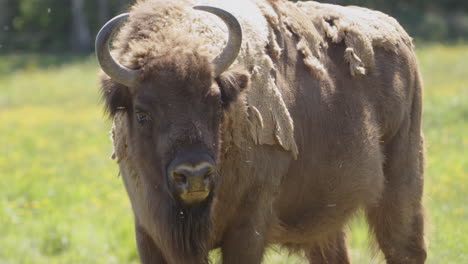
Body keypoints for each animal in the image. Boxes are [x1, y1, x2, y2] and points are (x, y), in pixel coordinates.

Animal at [97, 0, 426, 262]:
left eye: (215, 103)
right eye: (142, 114)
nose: (194, 175)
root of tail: (398, 34)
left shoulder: (247, 230)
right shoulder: (148, 232)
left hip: (403, 185)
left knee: (405, 248)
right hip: (325, 222)